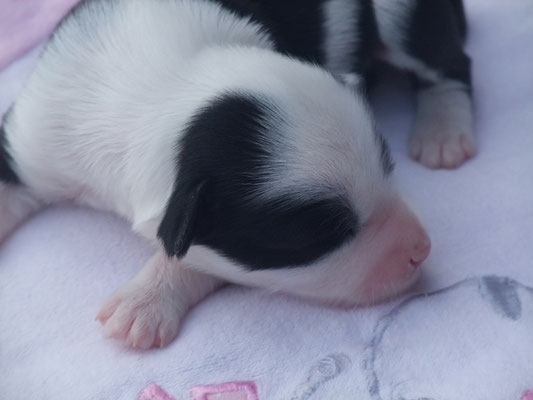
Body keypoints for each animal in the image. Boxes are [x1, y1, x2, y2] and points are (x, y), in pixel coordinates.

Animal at [0, 0, 472, 348]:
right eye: (324, 235)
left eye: (388, 169)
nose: (421, 250)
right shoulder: (33, 134)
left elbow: (189, 256)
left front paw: (143, 303)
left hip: (401, 15)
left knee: (450, 62)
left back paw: (444, 133)